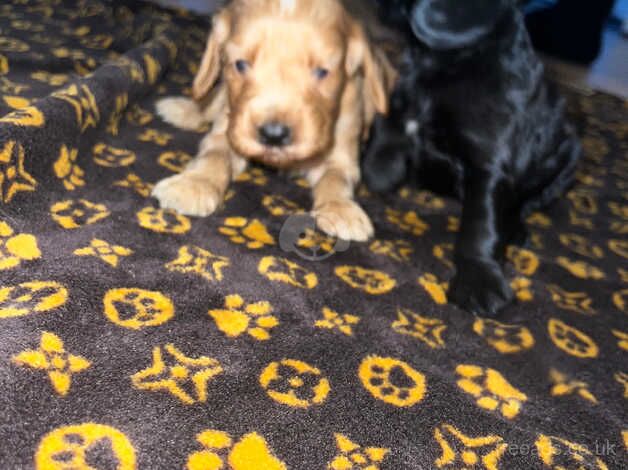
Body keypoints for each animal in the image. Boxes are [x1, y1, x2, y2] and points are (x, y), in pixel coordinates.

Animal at [153, 0, 392, 241]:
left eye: (322, 72)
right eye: (240, 65)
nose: (274, 134)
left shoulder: (342, 153)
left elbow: (336, 179)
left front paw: (340, 208)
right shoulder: (229, 129)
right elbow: (214, 156)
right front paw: (194, 184)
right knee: (209, 101)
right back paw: (182, 110)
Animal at [366, 0, 580, 318]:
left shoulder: (488, 162)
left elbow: (480, 225)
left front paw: (478, 280)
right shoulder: (400, 109)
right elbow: (380, 151)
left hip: (568, 157)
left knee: (528, 203)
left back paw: (515, 229)